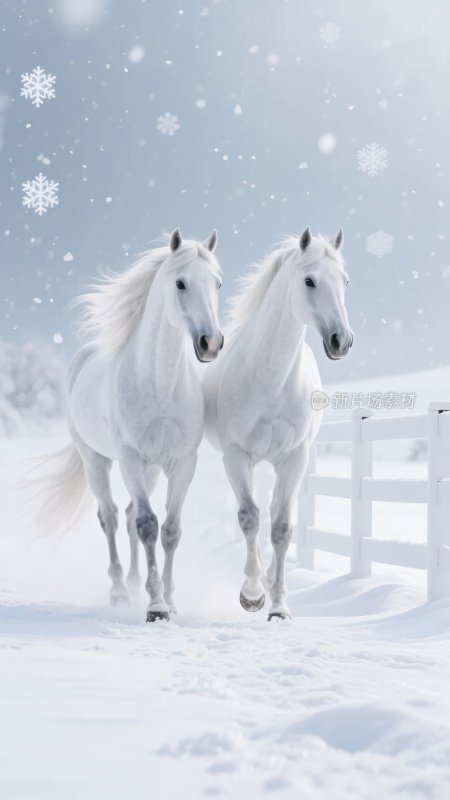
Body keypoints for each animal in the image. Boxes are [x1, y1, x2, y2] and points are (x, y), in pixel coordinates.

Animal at [26, 229, 224, 622]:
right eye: (180, 283)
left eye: (217, 284)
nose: (211, 343)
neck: (160, 386)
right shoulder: (130, 459)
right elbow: (148, 526)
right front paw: (156, 606)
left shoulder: (182, 463)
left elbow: (170, 529)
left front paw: (170, 600)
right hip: (97, 462)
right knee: (112, 517)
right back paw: (119, 591)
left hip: (151, 470)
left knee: (130, 516)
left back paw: (133, 585)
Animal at [202, 227, 353, 620]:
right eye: (309, 280)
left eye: (345, 281)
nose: (341, 341)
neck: (270, 379)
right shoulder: (236, 457)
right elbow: (249, 518)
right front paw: (253, 594)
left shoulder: (294, 459)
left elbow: (282, 527)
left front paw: (279, 605)